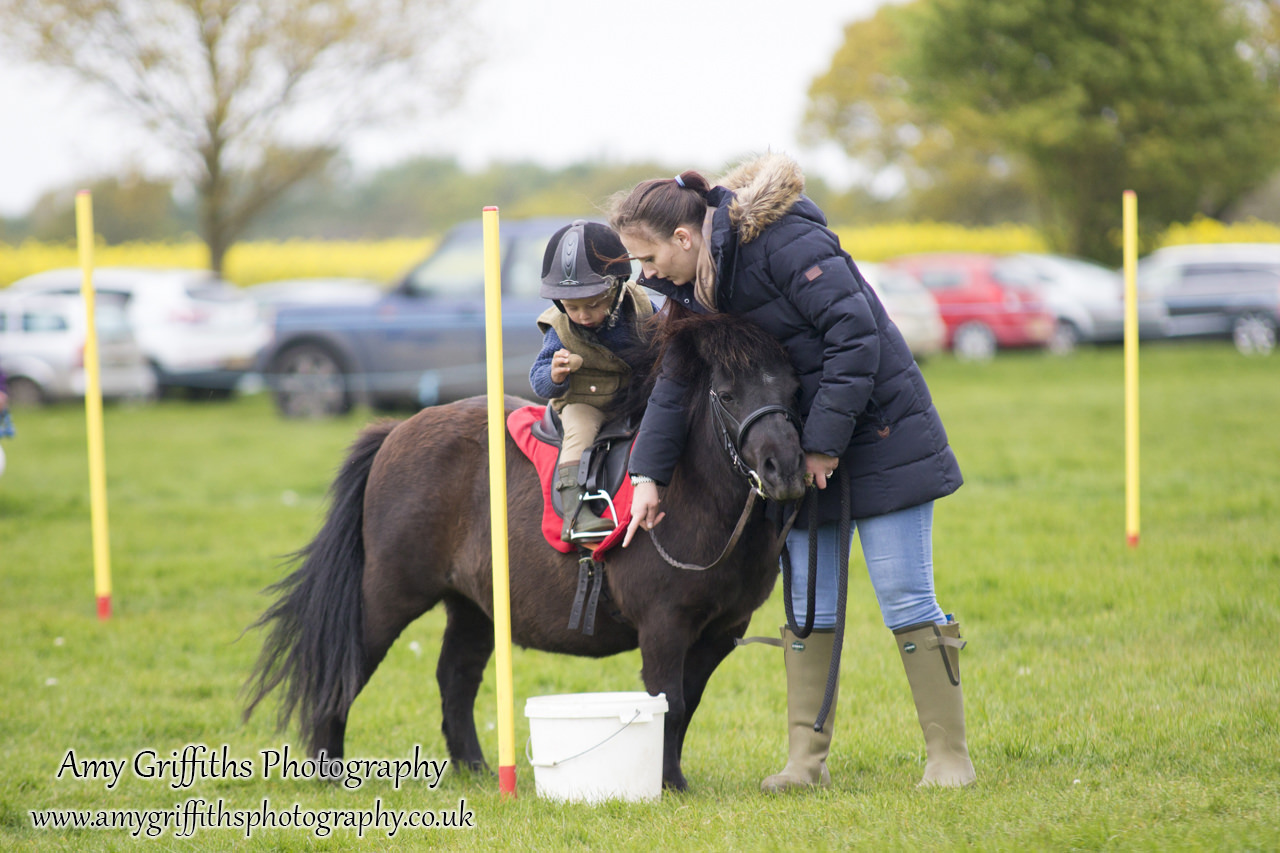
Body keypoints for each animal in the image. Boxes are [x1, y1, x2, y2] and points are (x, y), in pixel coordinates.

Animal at [241, 312, 798, 788]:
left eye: (793, 387)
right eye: (727, 394)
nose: (784, 468)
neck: (685, 485)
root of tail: (396, 431)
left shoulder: (722, 632)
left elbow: (687, 705)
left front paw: (670, 779)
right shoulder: (663, 626)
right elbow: (670, 703)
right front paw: (668, 784)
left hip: (471, 606)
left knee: (456, 679)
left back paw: (475, 769)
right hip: (389, 595)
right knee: (349, 666)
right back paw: (328, 768)